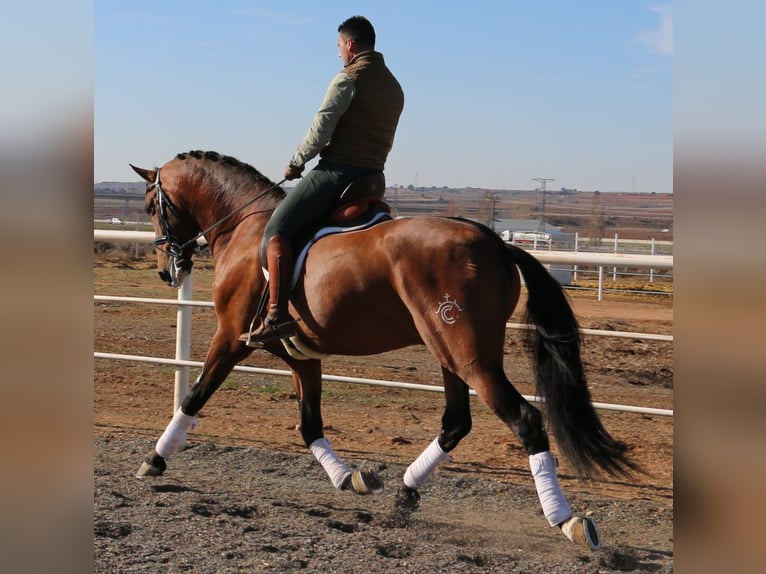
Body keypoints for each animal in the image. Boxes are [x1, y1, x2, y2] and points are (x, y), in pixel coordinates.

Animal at [129, 150, 637, 550]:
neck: (244, 227)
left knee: (526, 420)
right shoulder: (299, 354)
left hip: (469, 355)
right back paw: (405, 493)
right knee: (456, 422)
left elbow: (196, 395)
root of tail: (495, 243)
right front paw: (351, 478)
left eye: (152, 204)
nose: (165, 270)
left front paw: (154, 459)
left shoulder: (232, 338)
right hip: (449, 354)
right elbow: (309, 425)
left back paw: (567, 520)